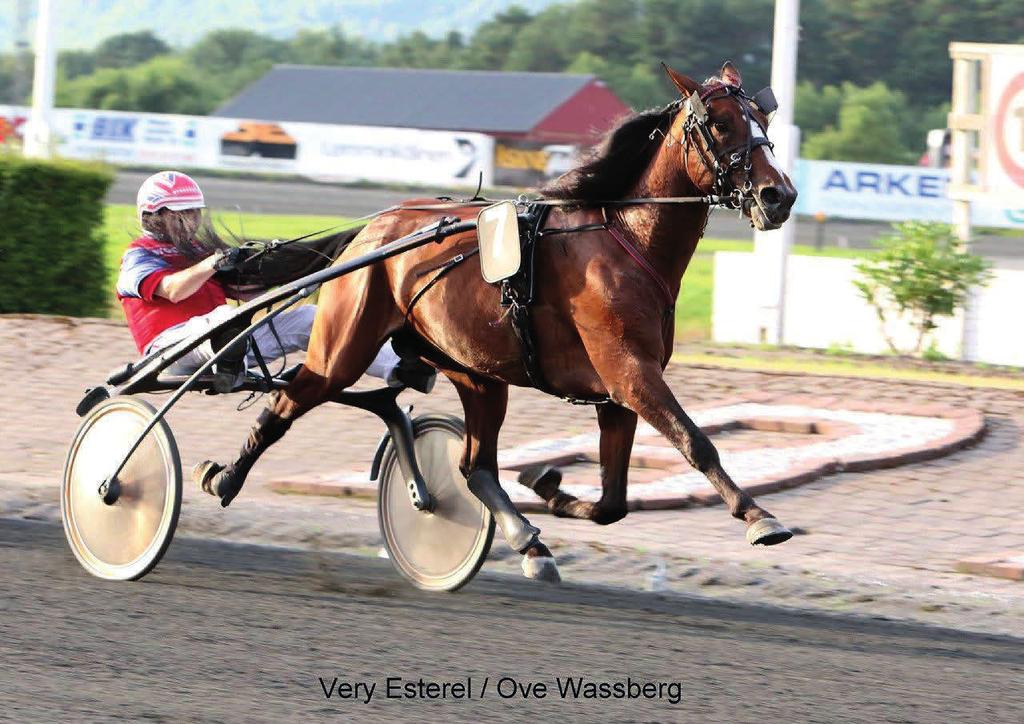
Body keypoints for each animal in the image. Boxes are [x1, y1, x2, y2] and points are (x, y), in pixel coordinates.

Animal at [193, 62, 798, 581]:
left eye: (763, 122)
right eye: (720, 124)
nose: (780, 195)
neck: (624, 238)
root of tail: (373, 229)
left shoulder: (616, 391)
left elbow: (612, 503)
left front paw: (548, 485)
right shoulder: (630, 374)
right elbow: (697, 443)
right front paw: (759, 518)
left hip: (476, 373)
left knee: (475, 466)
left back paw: (528, 541)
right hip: (343, 348)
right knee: (289, 399)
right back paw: (224, 477)